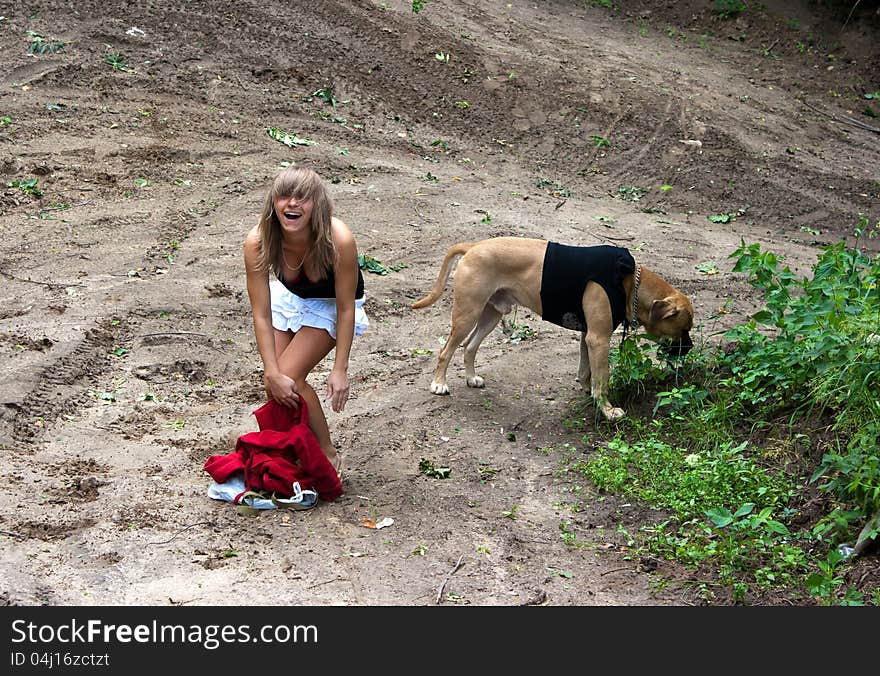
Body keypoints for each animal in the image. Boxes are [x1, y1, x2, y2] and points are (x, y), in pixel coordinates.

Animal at [412, 236, 696, 418]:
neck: (628, 283)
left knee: (469, 347)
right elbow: (603, 378)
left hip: (490, 315)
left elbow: (587, 371)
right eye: (684, 329)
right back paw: (438, 384)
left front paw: (589, 394)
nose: (690, 348)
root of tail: (474, 246)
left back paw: (471, 378)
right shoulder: (599, 339)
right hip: (467, 314)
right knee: (445, 351)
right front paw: (607, 410)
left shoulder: (588, 336)